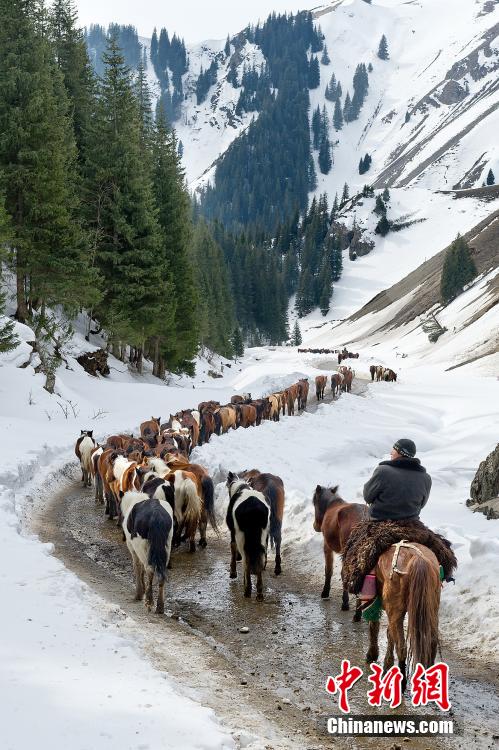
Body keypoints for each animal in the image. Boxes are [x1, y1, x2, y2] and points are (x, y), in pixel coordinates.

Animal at [228, 472, 272, 604]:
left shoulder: (233, 532)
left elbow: (232, 548)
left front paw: (233, 573)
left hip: (241, 536)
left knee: (246, 560)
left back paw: (247, 590)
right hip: (262, 536)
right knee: (260, 560)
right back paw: (259, 593)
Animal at [312, 488, 368, 616]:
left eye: (314, 503)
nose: (315, 526)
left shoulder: (327, 545)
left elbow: (329, 570)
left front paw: (325, 593)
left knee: (345, 574)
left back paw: (346, 604)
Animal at [368, 540, 442, 692]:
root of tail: (417, 558)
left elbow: (375, 626)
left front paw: (373, 655)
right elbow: (389, 633)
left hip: (396, 610)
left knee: (402, 646)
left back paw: (402, 682)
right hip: (432, 608)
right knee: (431, 641)